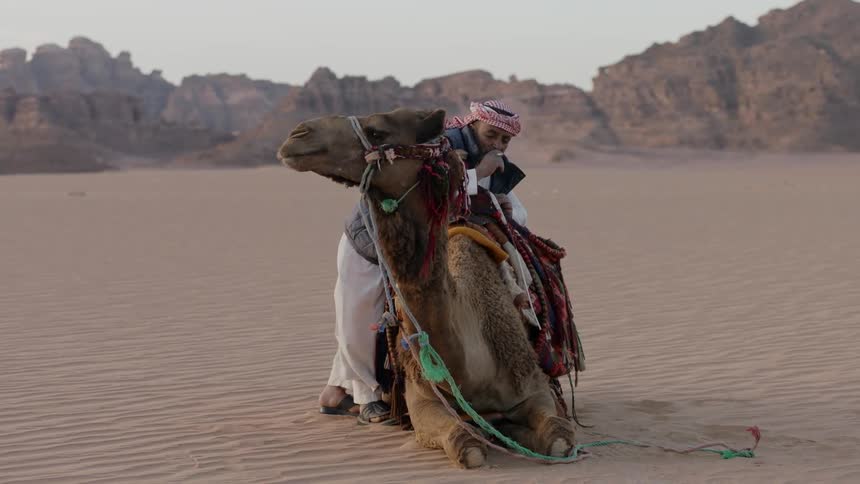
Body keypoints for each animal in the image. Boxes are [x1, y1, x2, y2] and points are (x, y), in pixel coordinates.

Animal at [278, 108, 575, 468]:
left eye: (377, 131)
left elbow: (558, 438)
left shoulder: (534, 387)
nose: (296, 134)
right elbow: (465, 445)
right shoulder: (422, 401)